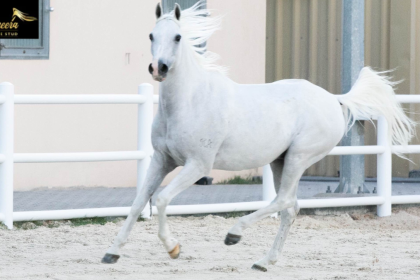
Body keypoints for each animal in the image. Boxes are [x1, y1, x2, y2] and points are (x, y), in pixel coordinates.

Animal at [101, 2, 414, 272]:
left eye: (178, 37)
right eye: (151, 35)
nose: (159, 69)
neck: (190, 101)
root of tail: (334, 99)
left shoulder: (198, 165)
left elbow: (163, 199)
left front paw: (173, 248)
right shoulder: (161, 160)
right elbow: (139, 202)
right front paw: (112, 253)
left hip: (299, 157)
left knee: (284, 201)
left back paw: (234, 234)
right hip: (279, 161)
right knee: (290, 208)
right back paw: (264, 262)